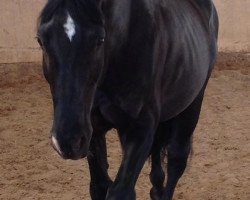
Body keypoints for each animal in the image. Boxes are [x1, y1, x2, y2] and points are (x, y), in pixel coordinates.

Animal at [36, 0, 218, 199]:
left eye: (100, 40)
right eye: (40, 40)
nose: (68, 141)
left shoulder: (139, 131)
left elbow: (121, 191)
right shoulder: (94, 130)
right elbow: (99, 186)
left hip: (192, 104)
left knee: (177, 160)